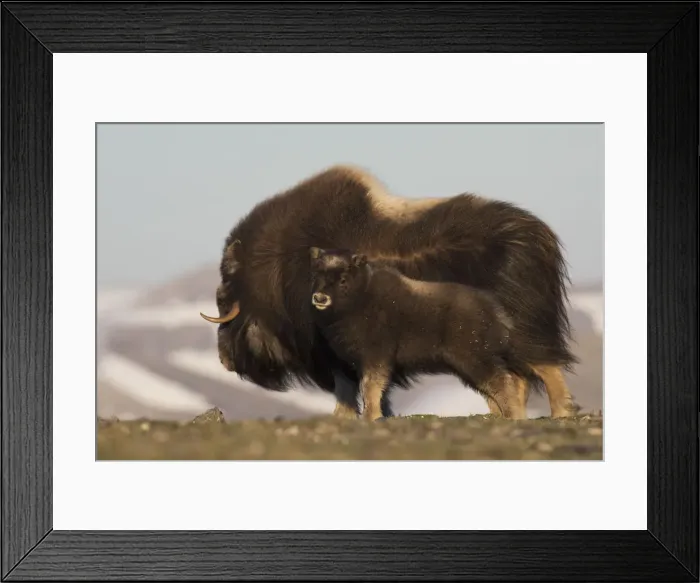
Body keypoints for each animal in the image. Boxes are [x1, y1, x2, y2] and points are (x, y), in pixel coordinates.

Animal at [308, 247, 545, 421]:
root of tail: (495, 312)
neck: (361, 296)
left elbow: (370, 387)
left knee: (502, 382)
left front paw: (371, 417)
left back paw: (513, 416)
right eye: (316, 275)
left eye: (343, 279)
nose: (320, 298)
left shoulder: (375, 357)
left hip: (474, 359)